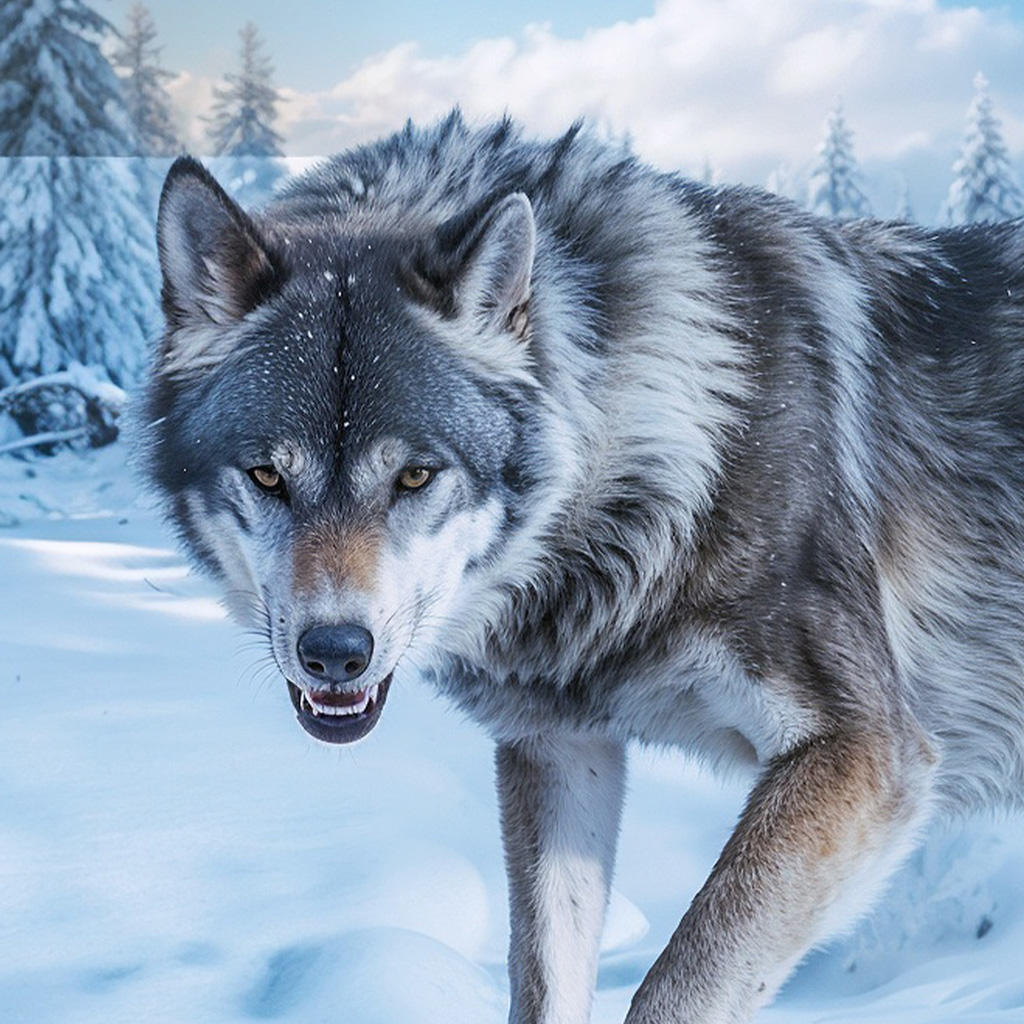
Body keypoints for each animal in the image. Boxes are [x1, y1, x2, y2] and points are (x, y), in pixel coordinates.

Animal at [139, 112, 1024, 1023]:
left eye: (416, 475)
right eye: (267, 475)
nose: (335, 652)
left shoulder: (864, 754)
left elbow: (677, 988)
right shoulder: (559, 750)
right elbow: (544, 980)